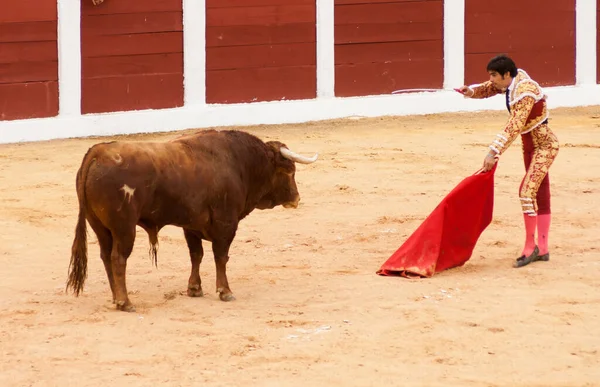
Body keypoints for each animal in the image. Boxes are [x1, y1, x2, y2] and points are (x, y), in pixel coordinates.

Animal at [65, 130, 318, 312]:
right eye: (290, 171)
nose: (296, 198)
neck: (240, 164)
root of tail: (97, 152)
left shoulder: (192, 226)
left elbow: (196, 255)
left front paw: (194, 288)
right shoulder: (226, 223)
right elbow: (221, 257)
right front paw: (225, 291)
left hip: (100, 227)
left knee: (106, 256)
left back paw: (115, 296)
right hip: (124, 227)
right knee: (118, 258)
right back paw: (125, 302)